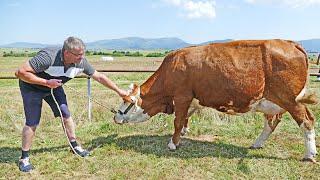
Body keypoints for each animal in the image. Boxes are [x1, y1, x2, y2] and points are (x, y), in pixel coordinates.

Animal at [112, 39, 318, 162]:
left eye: (128, 101)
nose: (116, 116)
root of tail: (290, 43)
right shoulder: (191, 100)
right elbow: (185, 118)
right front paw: (183, 134)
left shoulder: (182, 96)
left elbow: (177, 121)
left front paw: (173, 143)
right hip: (271, 102)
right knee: (272, 122)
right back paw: (257, 143)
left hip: (290, 99)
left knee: (307, 121)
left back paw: (309, 154)